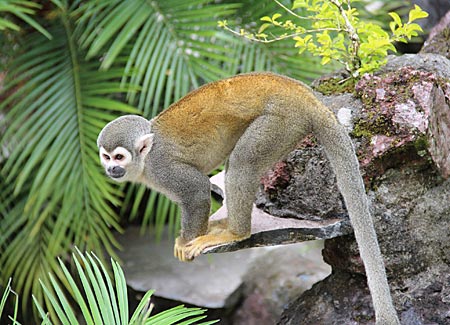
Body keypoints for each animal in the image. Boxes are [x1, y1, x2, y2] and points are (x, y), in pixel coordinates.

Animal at [97, 71, 398, 322]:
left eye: (119, 157)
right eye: (106, 156)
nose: (111, 169)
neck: (145, 160)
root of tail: (305, 95)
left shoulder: (162, 168)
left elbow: (196, 190)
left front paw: (185, 242)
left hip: (280, 122)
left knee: (242, 165)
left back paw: (235, 233)